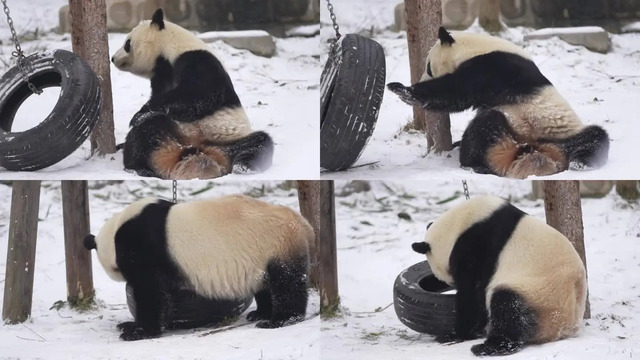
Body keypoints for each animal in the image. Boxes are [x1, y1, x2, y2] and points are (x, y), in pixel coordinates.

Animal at [82, 195, 312, 338]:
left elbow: (151, 293)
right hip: (261, 257)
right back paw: (261, 313)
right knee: (265, 285)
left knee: (288, 284)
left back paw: (281, 319)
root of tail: (303, 224)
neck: (116, 233)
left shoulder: (144, 248)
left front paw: (137, 332)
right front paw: (129, 325)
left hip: (277, 245)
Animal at [112, 9, 272, 180]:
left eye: (127, 44)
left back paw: (244, 167)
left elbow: (201, 95)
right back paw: (138, 166)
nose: (113, 58)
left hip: (227, 141)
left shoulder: (198, 60)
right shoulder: (161, 79)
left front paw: (139, 114)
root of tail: (197, 153)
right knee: (147, 132)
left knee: (260, 142)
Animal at [384, 27, 608, 179]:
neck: (476, 48)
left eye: (429, 67)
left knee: (595, 137)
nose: (421, 78)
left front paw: (403, 90)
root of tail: (532, 151)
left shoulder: (494, 68)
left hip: (556, 134)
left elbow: (455, 92)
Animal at [412, 195, 588, 356]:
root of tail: (565, 328)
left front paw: (455, 334)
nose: (450, 283)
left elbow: (472, 293)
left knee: (508, 308)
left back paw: (489, 347)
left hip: (540, 295)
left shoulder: (476, 247)